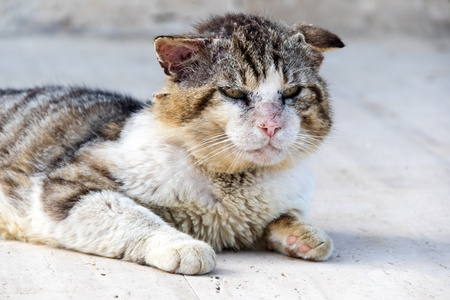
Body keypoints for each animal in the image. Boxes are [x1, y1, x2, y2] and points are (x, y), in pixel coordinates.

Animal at [0, 13, 344, 274]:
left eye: (293, 92)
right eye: (233, 93)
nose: (271, 125)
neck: (234, 185)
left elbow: (282, 217)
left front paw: (305, 236)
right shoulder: (66, 187)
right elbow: (136, 217)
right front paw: (183, 245)